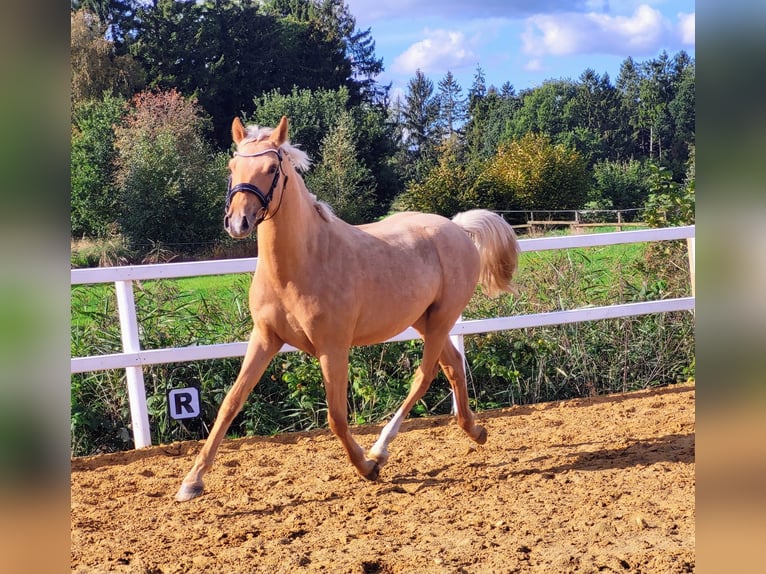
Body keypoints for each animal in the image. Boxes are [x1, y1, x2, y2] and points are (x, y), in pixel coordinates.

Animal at [175, 116, 520, 501]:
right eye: (232, 167)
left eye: (271, 169)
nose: (238, 222)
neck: (300, 265)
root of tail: (458, 227)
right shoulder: (264, 338)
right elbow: (230, 403)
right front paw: (192, 481)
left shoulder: (333, 347)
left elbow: (337, 417)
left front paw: (366, 467)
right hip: (425, 321)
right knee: (453, 365)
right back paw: (475, 431)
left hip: (441, 319)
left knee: (424, 375)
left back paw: (380, 449)